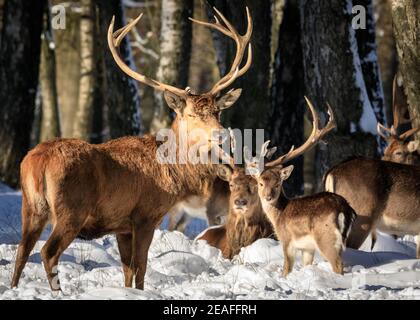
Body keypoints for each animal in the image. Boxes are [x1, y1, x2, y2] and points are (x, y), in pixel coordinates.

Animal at [11, 8, 253, 292]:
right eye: (192, 114)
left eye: (218, 112)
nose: (221, 134)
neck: (173, 172)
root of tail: (37, 162)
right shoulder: (146, 215)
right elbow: (141, 268)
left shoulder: (122, 226)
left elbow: (127, 269)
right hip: (70, 210)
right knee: (48, 252)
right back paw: (57, 293)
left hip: (31, 207)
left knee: (22, 251)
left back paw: (13, 288)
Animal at [251, 97, 356, 276]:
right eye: (261, 183)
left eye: (278, 184)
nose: (268, 197)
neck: (279, 216)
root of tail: (344, 209)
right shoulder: (307, 249)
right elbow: (306, 264)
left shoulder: (287, 240)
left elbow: (287, 268)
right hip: (339, 241)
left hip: (325, 238)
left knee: (337, 265)